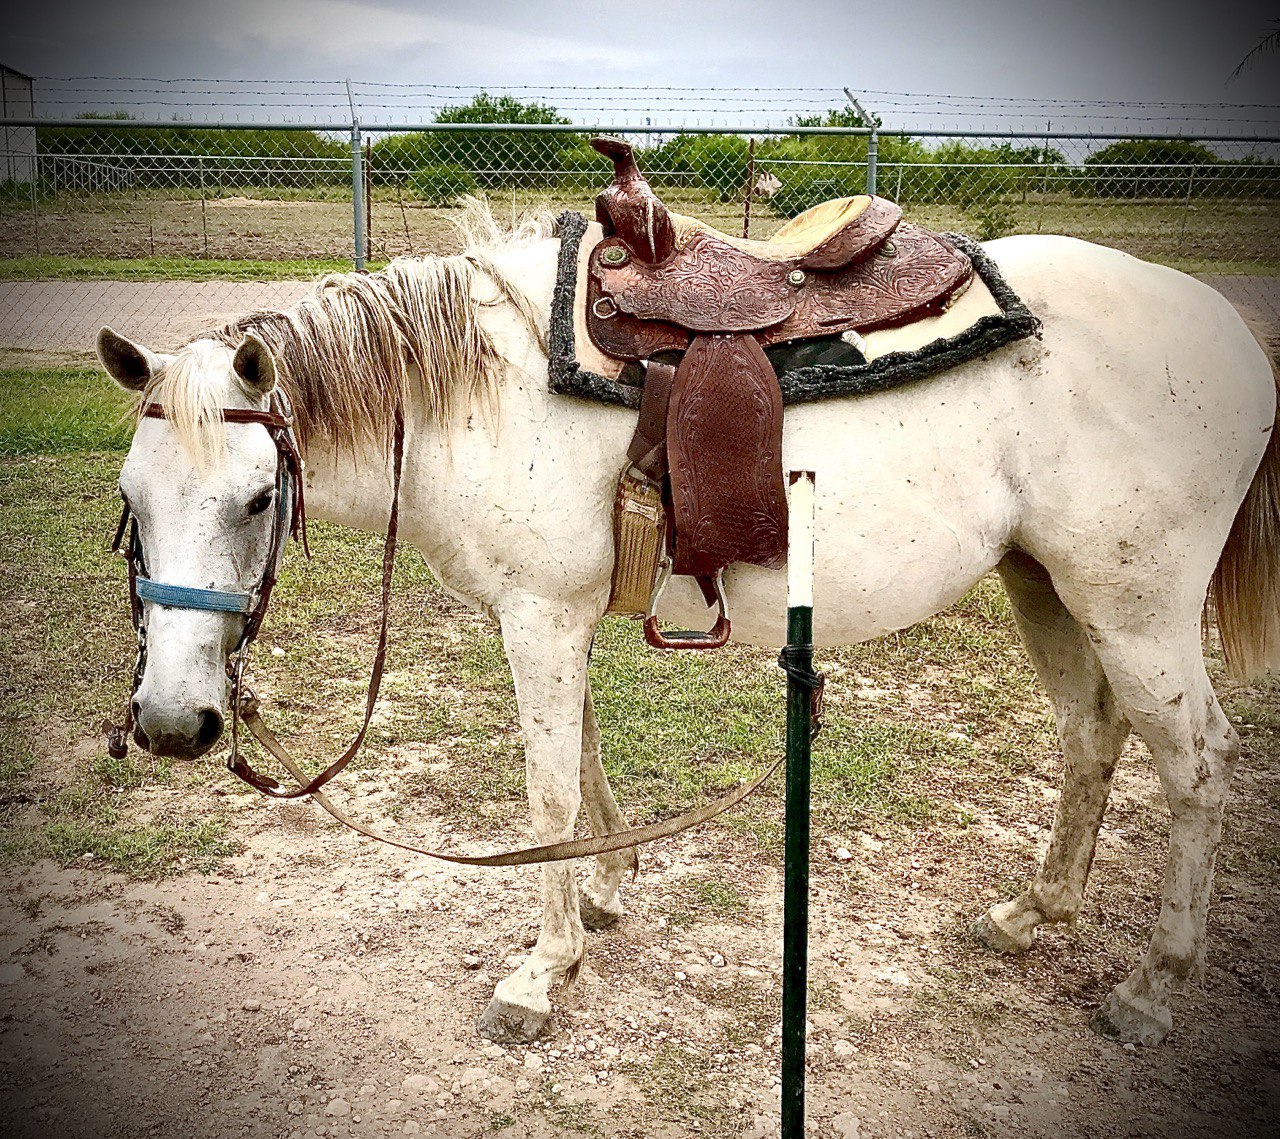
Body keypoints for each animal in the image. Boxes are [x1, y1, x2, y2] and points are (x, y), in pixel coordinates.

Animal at [94, 203, 1279, 1048]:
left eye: (259, 497)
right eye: (130, 503)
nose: (173, 723)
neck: (475, 396)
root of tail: (1229, 332)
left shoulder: (537, 618)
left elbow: (546, 788)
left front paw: (542, 972)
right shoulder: (551, 618)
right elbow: (581, 758)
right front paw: (606, 893)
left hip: (1135, 608)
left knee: (1198, 766)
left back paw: (1152, 988)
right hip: (1047, 585)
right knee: (1090, 736)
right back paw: (1033, 911)